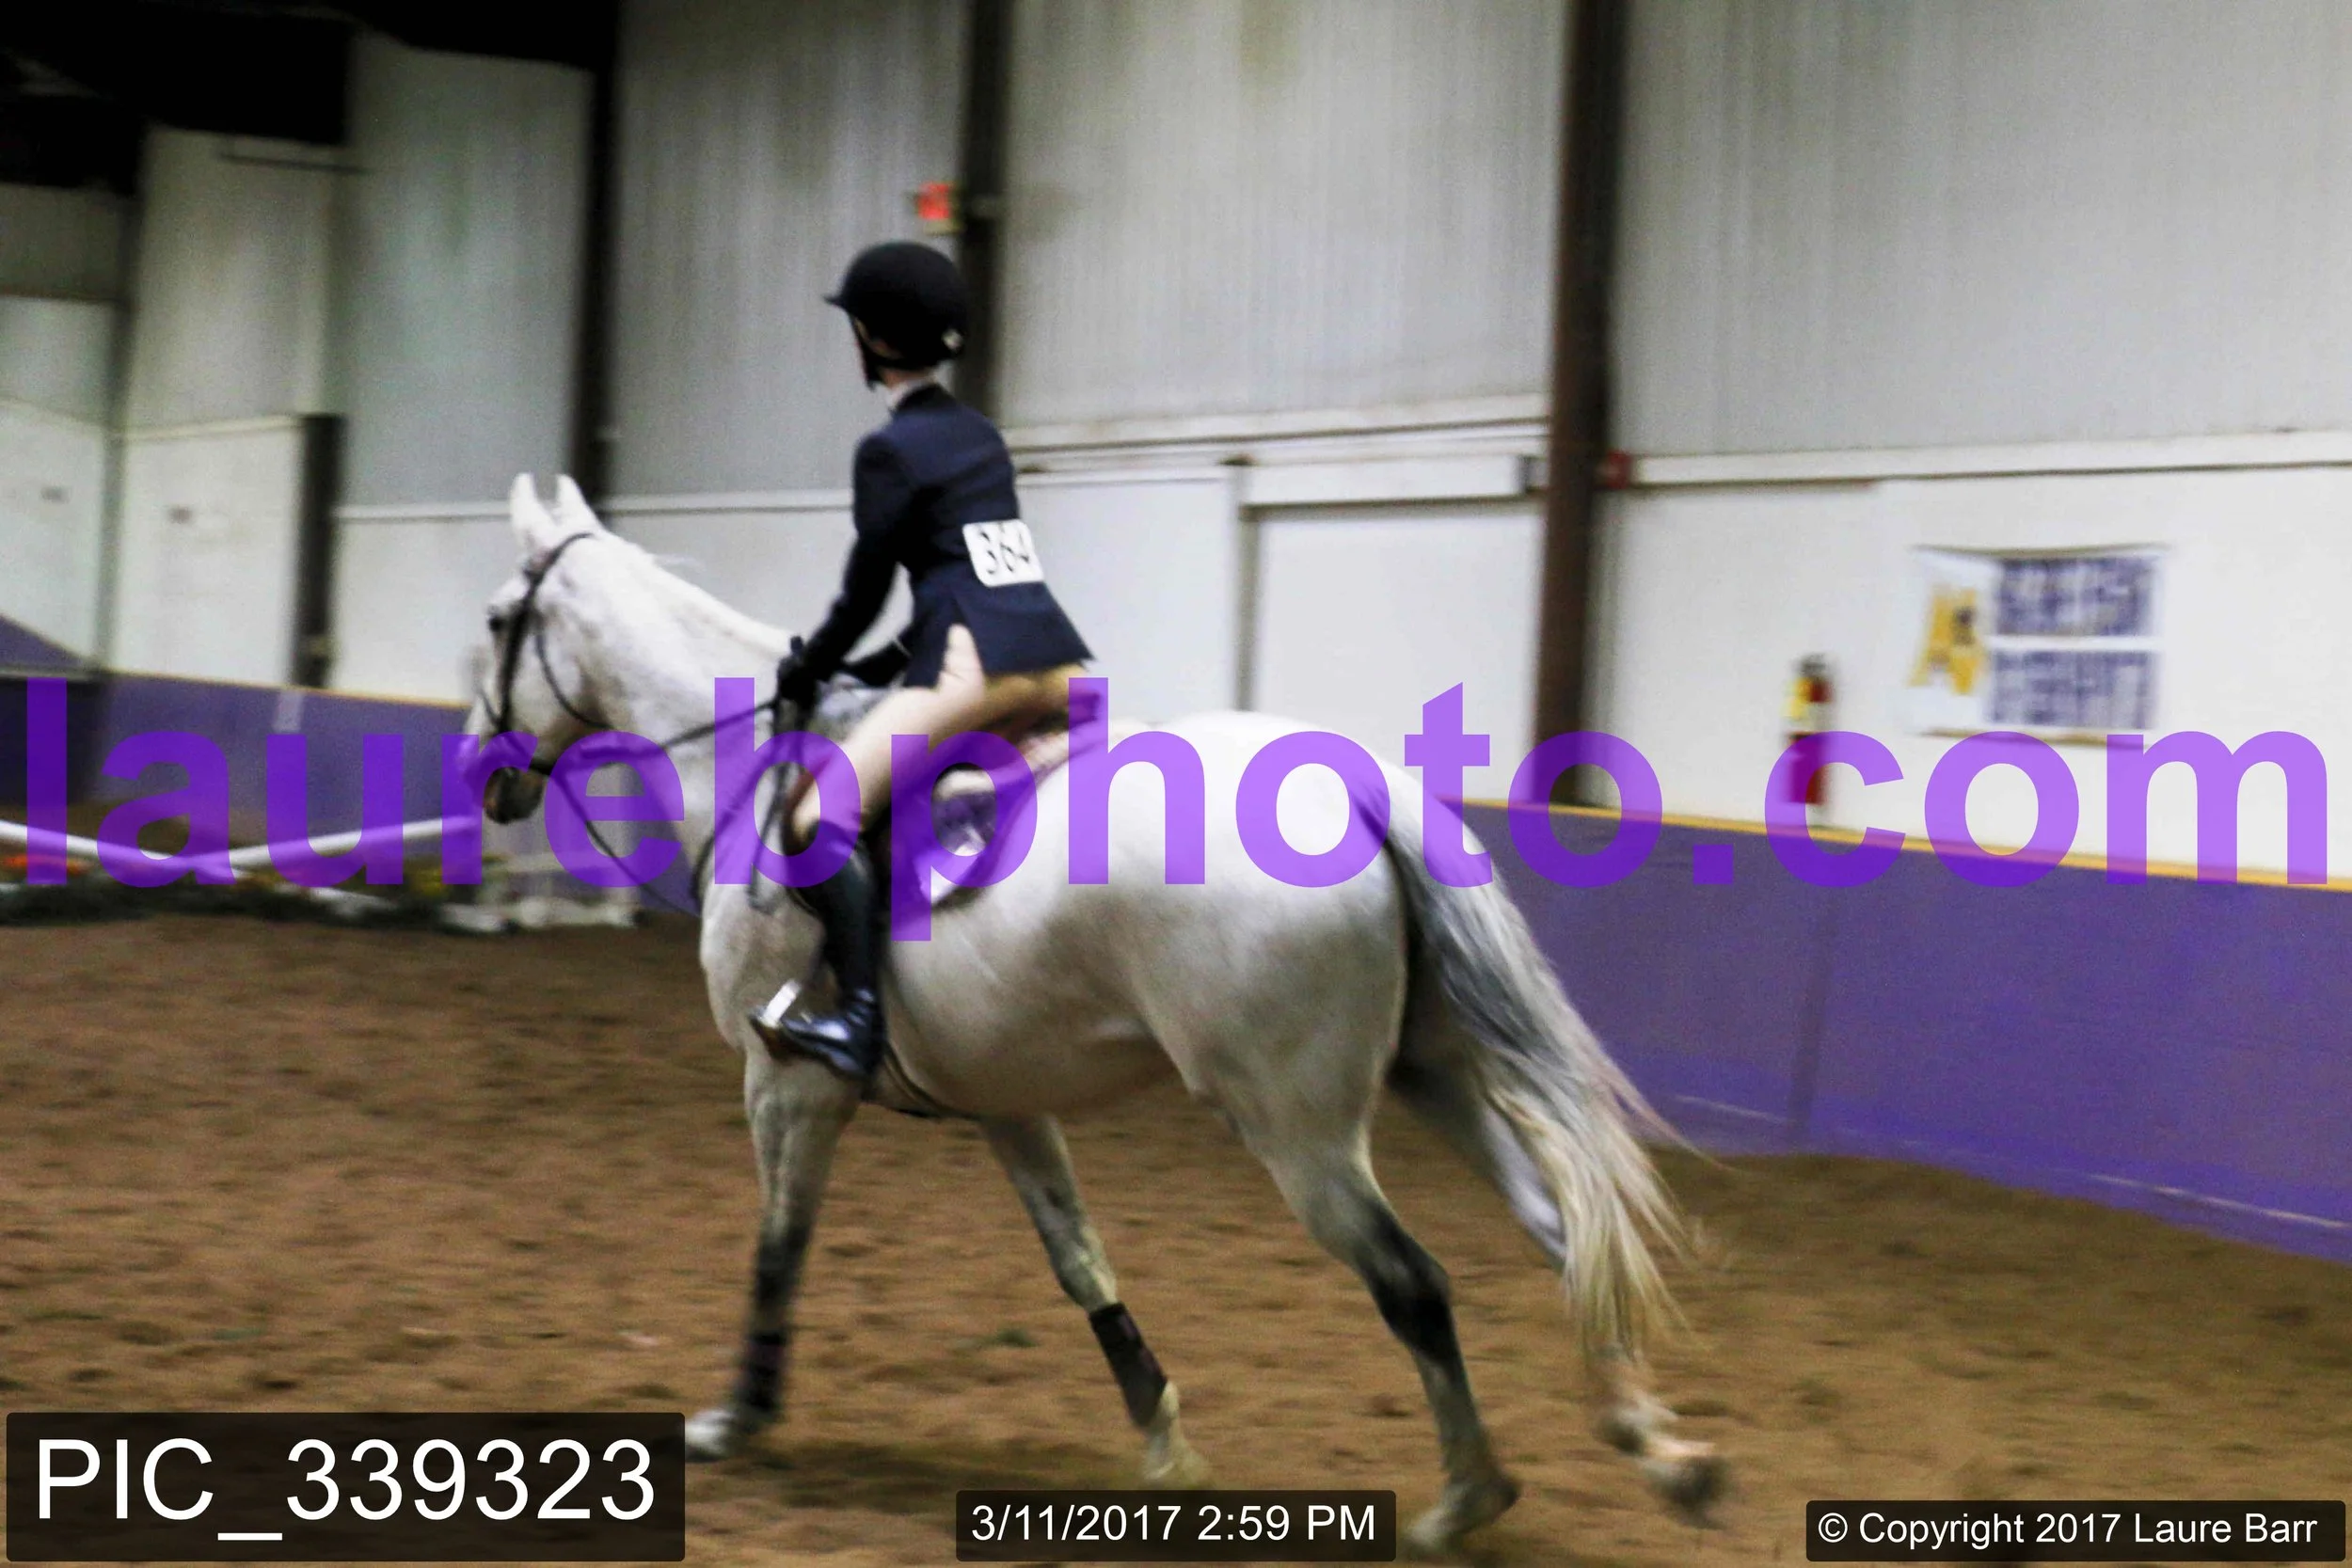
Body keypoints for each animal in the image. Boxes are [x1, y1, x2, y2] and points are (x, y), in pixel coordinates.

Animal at [467, 475, 1724, 1555]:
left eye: (494, 619)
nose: (487, 770)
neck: (745, 772)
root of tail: (1363, 790)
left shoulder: (786, 1082)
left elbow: (778, 1247)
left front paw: (737, 1415)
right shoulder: (1004, 1102)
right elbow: (1080, 1261)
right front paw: (1164, 1440)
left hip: (1298, 1127)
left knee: (1411, 1281)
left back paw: (1469, 1495)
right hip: (1434, 1075)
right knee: (1558, 1230)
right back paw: (1663, 1453)